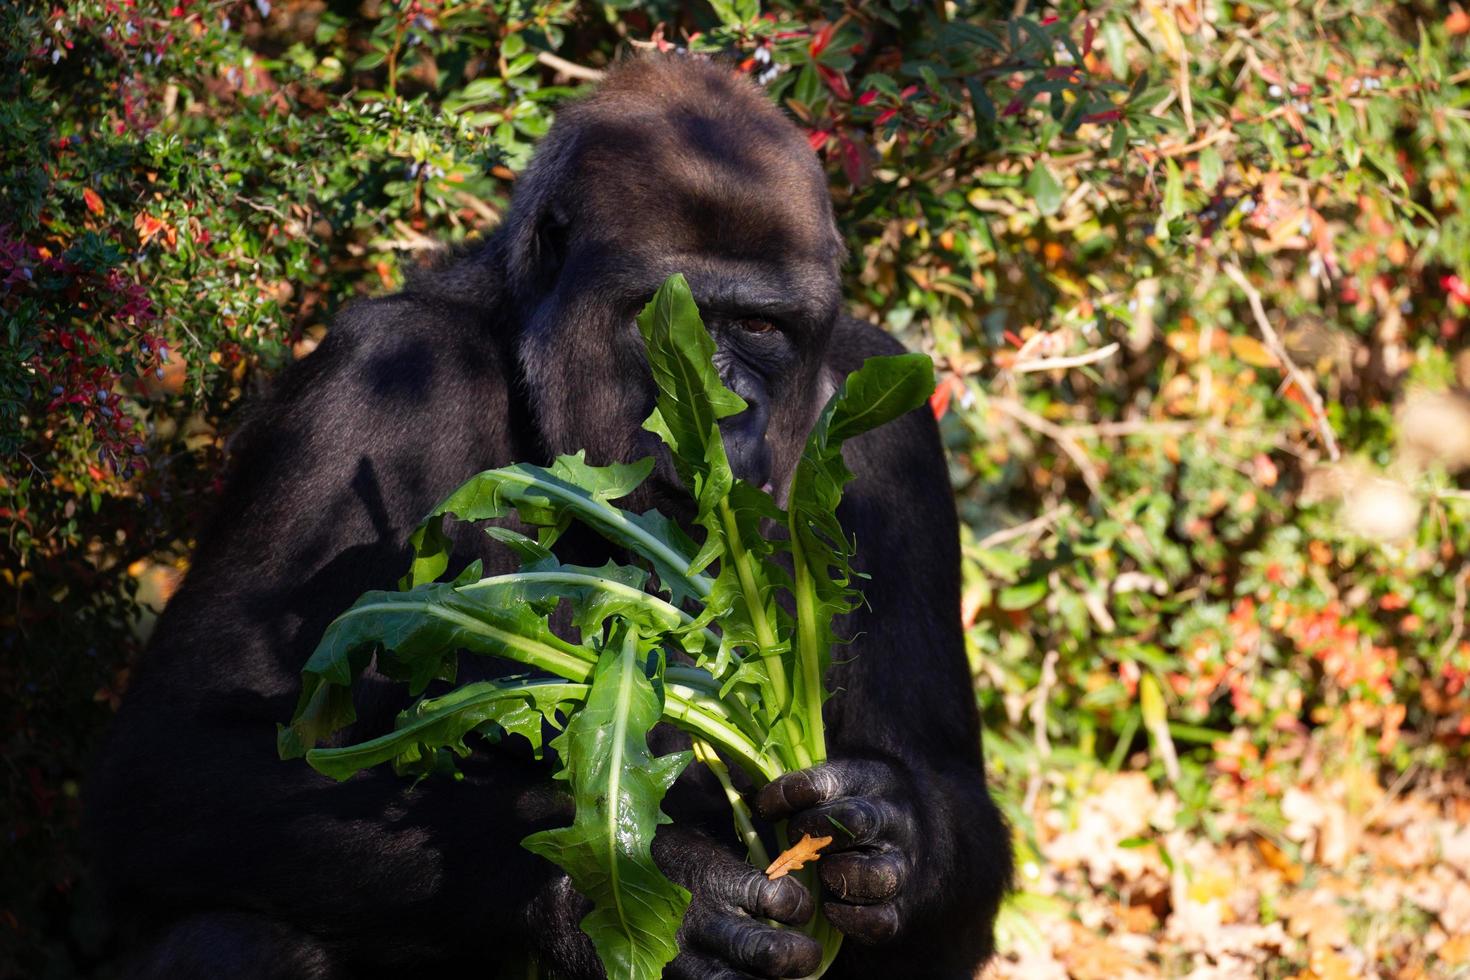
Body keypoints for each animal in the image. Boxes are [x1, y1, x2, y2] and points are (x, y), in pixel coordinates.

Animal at [88, 55, 1011, 980]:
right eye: (660, 315)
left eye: (759, 324)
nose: (726, 408)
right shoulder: (371, 378)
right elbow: (181, 757)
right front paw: (654, 888)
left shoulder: (890, 423)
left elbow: (943, 807)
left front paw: (888, 829)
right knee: (236, 929)